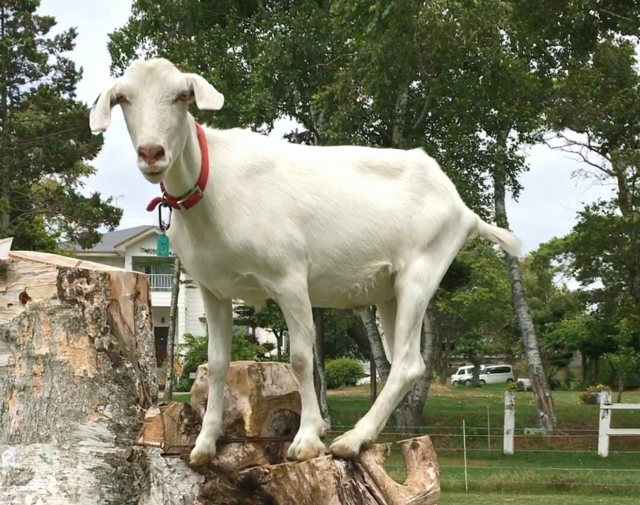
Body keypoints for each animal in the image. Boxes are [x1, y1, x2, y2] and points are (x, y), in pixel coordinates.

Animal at [89, 58, 520, 464]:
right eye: (123, 98)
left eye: (182, 95)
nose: (152, 153)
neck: (215, 186)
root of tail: (464, 210)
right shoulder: (213, 289)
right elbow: (217, 362)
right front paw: (204, 445)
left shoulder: (289, 277)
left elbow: (299, 358)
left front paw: (308, 438)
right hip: (389, 291)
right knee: (404, 361)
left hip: (422, 270)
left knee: (408, 362)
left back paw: (351, 440)